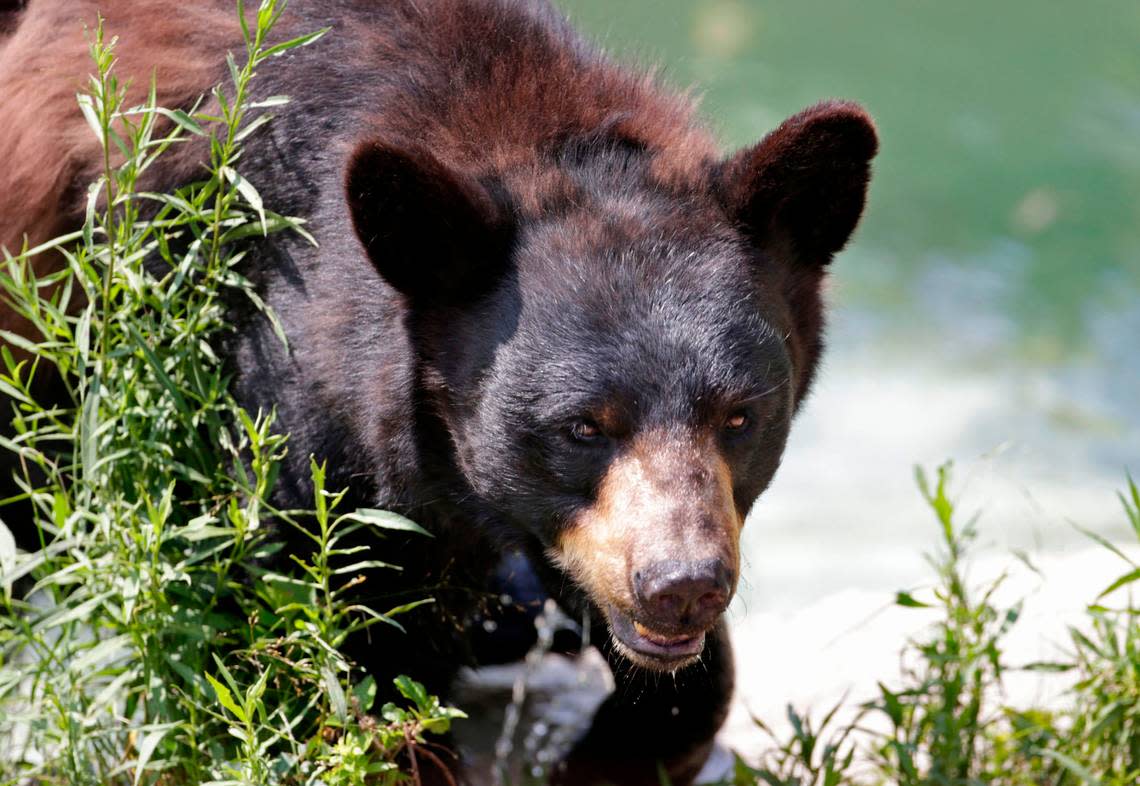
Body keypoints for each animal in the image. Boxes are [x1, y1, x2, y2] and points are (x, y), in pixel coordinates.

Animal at [0, 1, 875, 784]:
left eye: (740, 416)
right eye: (583, 427)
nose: (682, 589)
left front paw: (602, 752)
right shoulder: (275, 399)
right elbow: (328, 655)